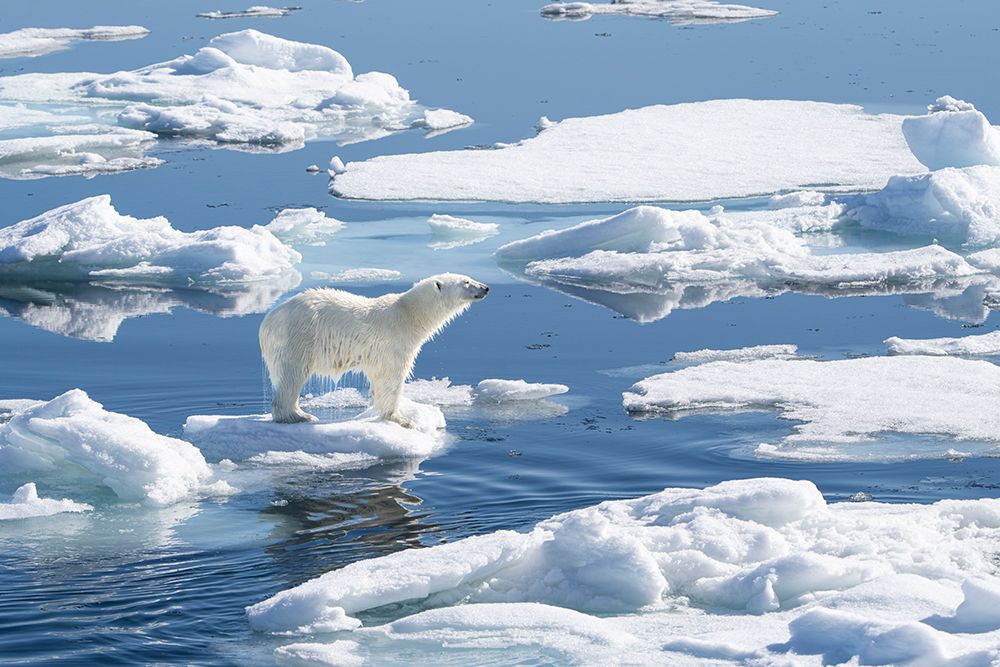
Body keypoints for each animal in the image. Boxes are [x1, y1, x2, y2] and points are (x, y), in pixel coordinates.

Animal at [259, 273, 489, 426]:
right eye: (466, 282)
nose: (486, 287)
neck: (408, 314)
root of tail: (267, 322)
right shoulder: (395, 343)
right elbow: (391, 379)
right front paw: (401, 419)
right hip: (298, 336)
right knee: (292, 374)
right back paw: (299, 415)